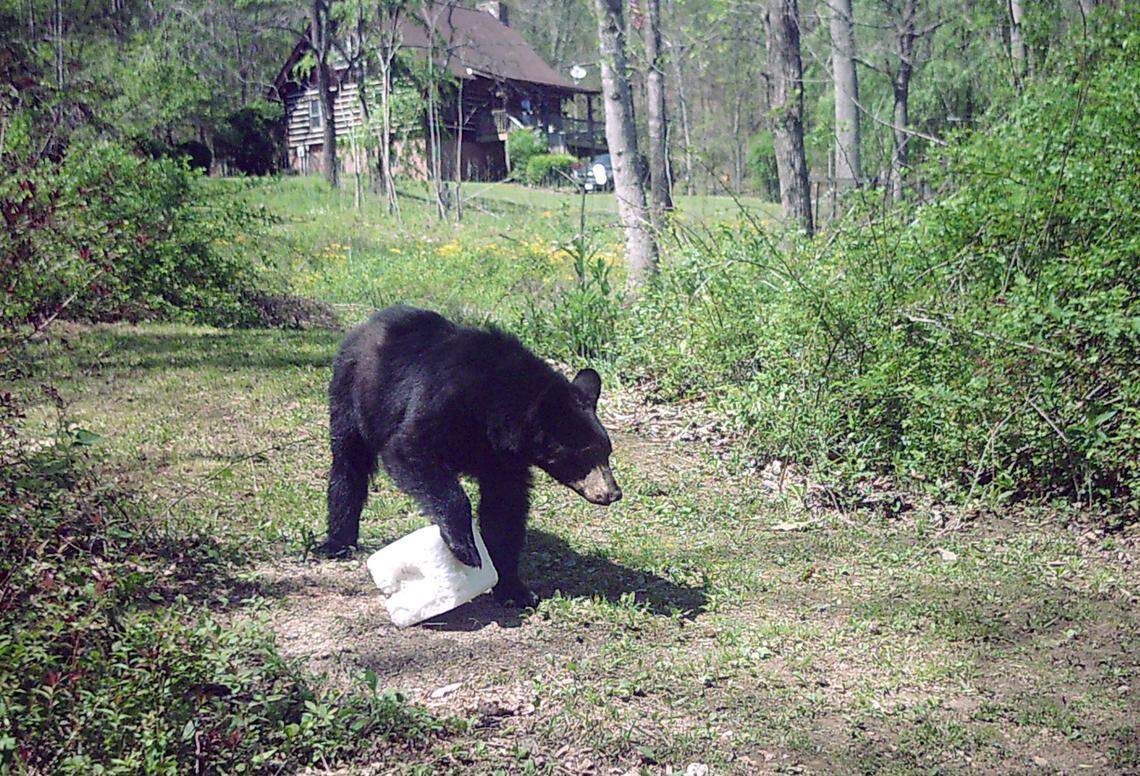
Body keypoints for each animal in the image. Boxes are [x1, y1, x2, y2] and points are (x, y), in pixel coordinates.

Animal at [325, 305, 622, 607]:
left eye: (607, 451)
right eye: (586, 455)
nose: (612, 493)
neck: (495, 406)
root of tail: (364, 326)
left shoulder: (502, 456)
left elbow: (505, 507)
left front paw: (514, 588)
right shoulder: (442, 400)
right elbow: (409, 448)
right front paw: (465, 547)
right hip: (352, 390)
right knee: (349, 462)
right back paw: (338, 542)